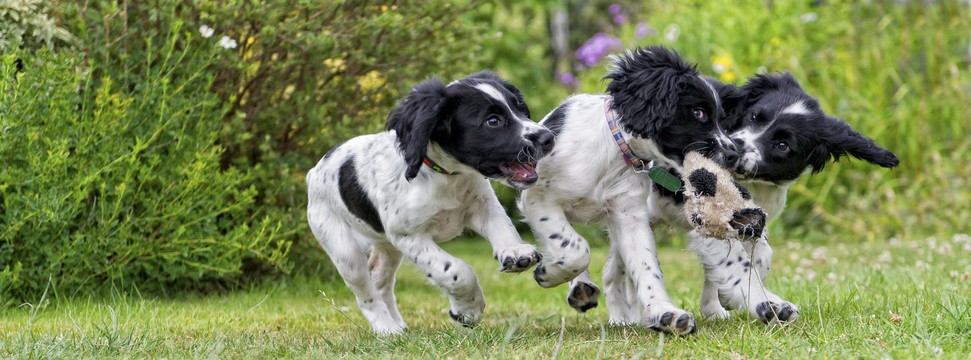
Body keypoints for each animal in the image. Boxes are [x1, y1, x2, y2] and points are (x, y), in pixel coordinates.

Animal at [520, 46, 740, 336]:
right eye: (698, 113)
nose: (735, 155)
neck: (614, 152)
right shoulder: (537, 198)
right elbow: (575, 248)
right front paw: (549, 272)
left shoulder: (629, 215)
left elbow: (647, 267)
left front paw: (666, 313)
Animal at [564, 71, 900, 324]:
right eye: (753, 115)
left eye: (782, 145)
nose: (734, 148)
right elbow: (735, 260)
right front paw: (764, 302)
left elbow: (759, 253)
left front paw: (719, 302)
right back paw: (615, 310)